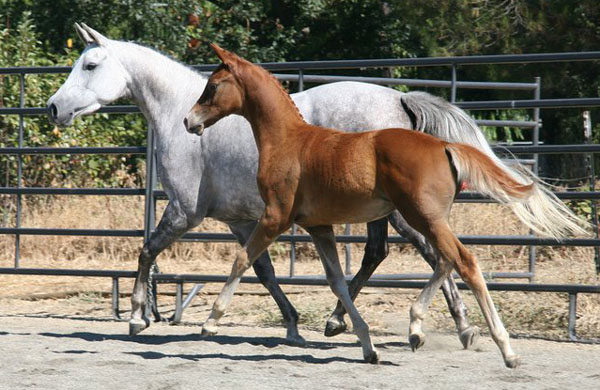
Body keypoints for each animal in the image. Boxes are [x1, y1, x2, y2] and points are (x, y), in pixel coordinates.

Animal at [48, 24, 488, 346]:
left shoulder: (184, 212)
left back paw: (453, 326)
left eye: (90, 65)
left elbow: (146, 252)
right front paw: (291, 324)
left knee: (431, 251)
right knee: (386, 254)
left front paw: (139, 317)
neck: (179, 116)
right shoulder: (240, 220)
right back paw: (344, 322)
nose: (53, 108)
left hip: (400, 210)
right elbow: (262, 269)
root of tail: (400, 101)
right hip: (383, 211)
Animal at [184, 44, 584, 368]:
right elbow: (337, 282)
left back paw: (506, 350)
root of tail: (444, 145)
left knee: (463, 261)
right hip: (428, 218)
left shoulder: (275, 216)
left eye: (212, 86)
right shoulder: (319, 227)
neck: (288, 141)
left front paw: (210, 322)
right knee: (445, 259)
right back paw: (417, 328)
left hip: (420, 216)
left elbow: (243, 259)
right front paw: (365, 344)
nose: (189, 120)